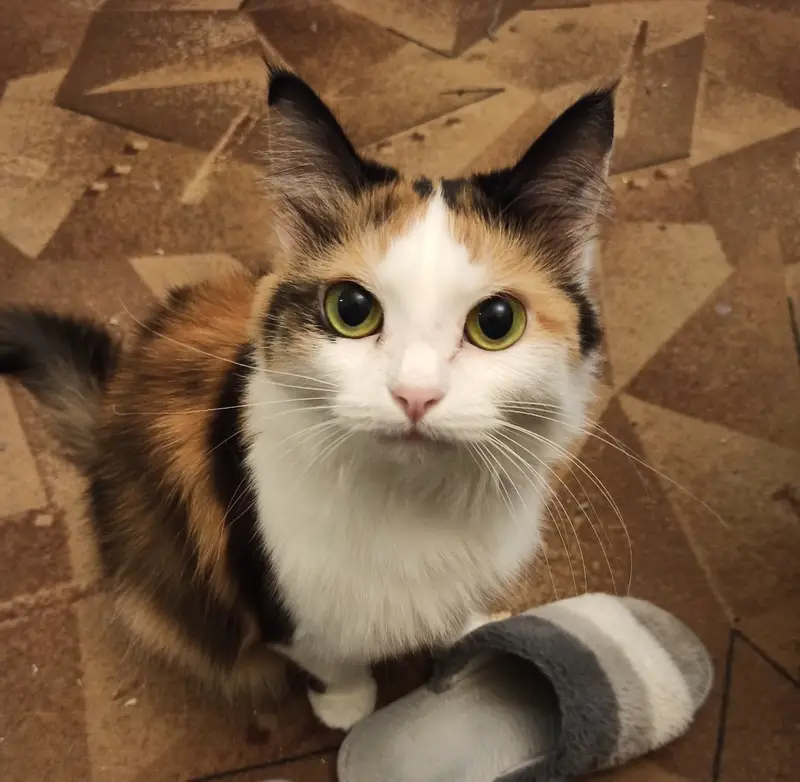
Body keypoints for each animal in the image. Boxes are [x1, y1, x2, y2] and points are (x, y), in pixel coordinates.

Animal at [0, 68, 613, 731]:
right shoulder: (282, 602)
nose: (415, 395)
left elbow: (454, 612)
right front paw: (349, 709)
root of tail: (107, 412)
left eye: (496, 322)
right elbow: (331, 657)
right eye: (351, 309)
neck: (415, 505)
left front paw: (471, 629)